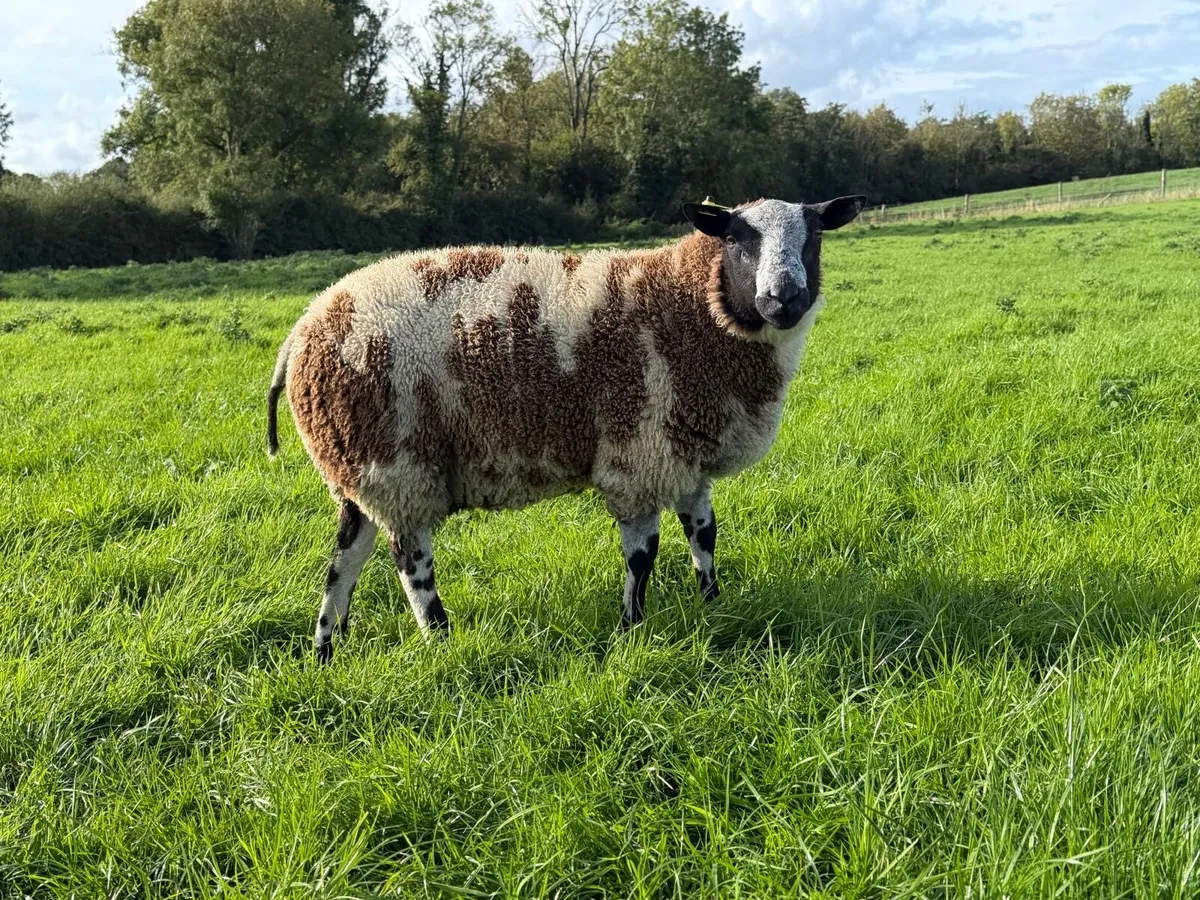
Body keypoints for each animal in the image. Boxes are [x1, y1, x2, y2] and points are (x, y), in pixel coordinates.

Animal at [267, 195, 866, 660]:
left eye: (814, 236)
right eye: (739, 240)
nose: (783, 298)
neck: (687, 306)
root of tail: (303, 330)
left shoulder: (684, 455)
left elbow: (704, 535)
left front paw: (713, 606)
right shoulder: (637, 452)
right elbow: (642, 554)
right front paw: (631, 630)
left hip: (358, 469)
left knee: (344, 561)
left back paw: (325, 650)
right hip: (396, 464)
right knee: (411, 566)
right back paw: (441, 641)